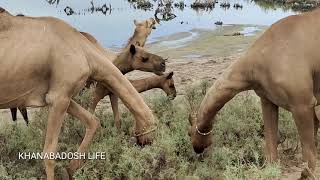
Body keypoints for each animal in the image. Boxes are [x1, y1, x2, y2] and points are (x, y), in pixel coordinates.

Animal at [0, 9, 165, 179]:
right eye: (144, 58)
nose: (163, 63)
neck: (87, 53)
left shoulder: (63, 95)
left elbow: (94, 121)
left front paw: (70, 169)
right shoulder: (59, 97)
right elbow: (49, 152)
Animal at [189, 7, 320, 179]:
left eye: (189, 133)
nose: (196, 148)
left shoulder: (302, 104)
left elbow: (309, 152)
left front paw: (307, 174)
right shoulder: (268, 100)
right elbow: (270, 144)